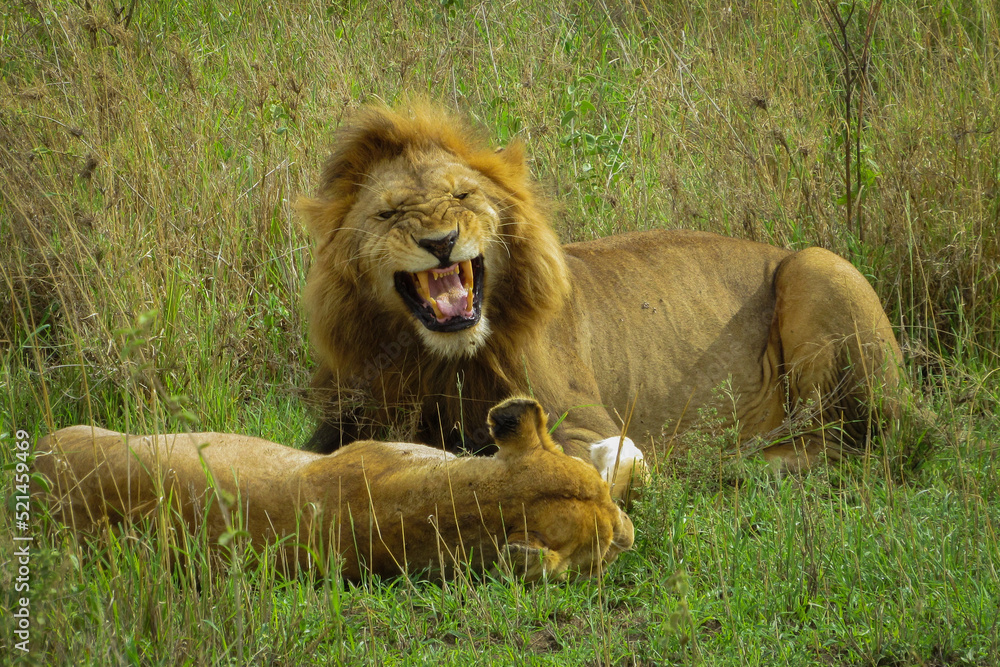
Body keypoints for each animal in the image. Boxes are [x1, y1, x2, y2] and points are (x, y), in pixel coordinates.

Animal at [298, 102, 903, 501]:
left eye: (462, 196)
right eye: (389, 213)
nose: (441, 241)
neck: (441, 361)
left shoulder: (582, 416)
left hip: (818, 266)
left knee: (857, 443)